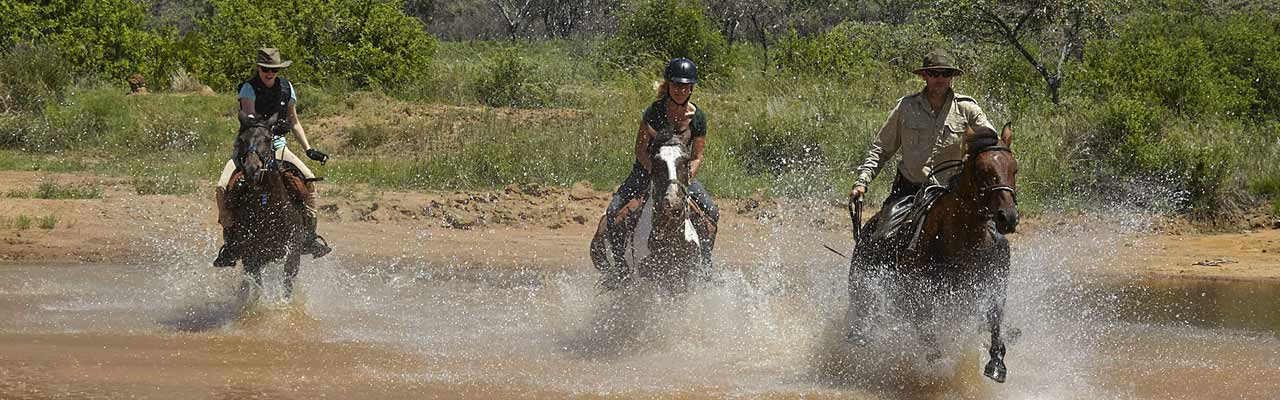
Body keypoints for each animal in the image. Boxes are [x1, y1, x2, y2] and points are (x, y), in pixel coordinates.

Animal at [225, 111, 314, 297]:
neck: (269, 209)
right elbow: (258, 285)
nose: (252, 169)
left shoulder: (293, 252)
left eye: (267, 139)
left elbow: (287, 283)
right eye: (242, 139)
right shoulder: (251, 255)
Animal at [849, 123, 1018, 382]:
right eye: (982, 170)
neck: (961, 241)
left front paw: (997, 363)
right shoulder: (918, 297)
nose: (1008, 217)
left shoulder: (992, 287)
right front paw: (939, 363)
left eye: (1014, 169)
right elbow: (929, 337)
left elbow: (995, 320)